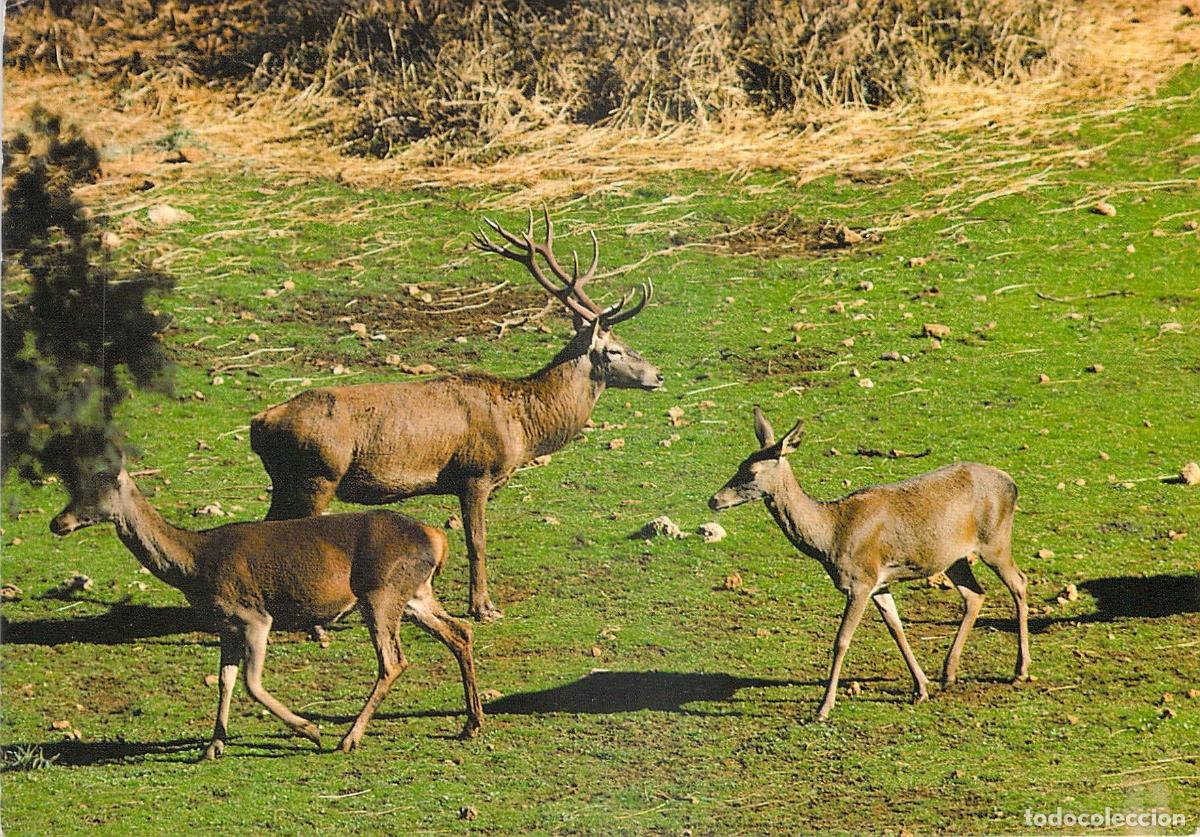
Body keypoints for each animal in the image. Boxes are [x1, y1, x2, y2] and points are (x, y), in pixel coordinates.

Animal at [49, 463, 485, 759]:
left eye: (93, 491)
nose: (57, 522)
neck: (194, 566)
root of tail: (438, 538)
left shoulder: (254, 615)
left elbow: (251, 683)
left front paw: (310, 730)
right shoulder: (225, 626)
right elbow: (225, 681)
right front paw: (214, 745)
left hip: (380, 594)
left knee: (394, 661)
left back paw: (349, 738)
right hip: (414, 595)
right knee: (459, 631)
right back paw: (471, 724)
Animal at [251, 208, 663, 623]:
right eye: (614, 350)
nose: (658, 375)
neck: (522, 426)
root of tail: (260, 423)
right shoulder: (475, 473)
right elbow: (476, 540)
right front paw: (483, 607)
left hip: (289, 480)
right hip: (317, 475)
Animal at [709, 407, 1030, 721]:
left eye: (751, 472)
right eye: (740, 463)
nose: (714, 500)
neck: (830, 537)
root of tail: (1013, 484)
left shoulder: (860, 582)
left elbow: (841, 641)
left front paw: (823, 708)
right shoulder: (880, 584)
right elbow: (896, 628)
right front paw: (921, 687)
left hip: (995, 542)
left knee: (1019, 582)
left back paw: (1021, 670)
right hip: (953, 558)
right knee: (975, 595)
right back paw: (947, 674)